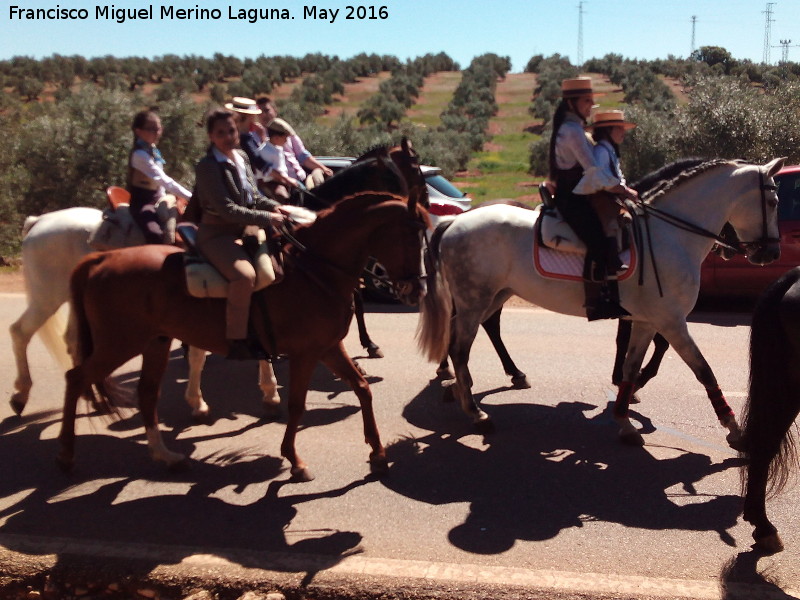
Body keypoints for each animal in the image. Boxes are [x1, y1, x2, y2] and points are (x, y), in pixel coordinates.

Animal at [7, 209, 278, 420]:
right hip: (47, 296)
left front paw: (268, 393)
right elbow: (202, 355)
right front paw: (200, 403)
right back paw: (21, 394)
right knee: (20, 331)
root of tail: (40, 220)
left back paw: (94, 399)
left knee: (73, 341)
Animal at [56, 192, 432, 482]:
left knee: (147, 394)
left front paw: (378, 454)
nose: (417, 290)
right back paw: (67, 455)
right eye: (410, 235)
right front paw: (295, 461)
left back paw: (166, 456)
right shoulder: (306, 353)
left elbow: (362, 389)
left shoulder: (328, 348)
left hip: (154, 343)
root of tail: (100, 259)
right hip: (118, 344)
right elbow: (297, 405)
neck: (314, 270)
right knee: (76, 379)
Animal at [418, 157, 788, 448]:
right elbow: (703, 370)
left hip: (492, 295)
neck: (669, 236)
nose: (771, 253)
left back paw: (464, 387)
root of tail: (454, 221)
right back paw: (476, 412)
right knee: (460, 349)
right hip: (474, 298)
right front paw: (734, 429)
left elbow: (630, 369)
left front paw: (625, 421)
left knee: (469, 336)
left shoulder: (647, 322)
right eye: (773, 202)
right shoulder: (671, 322)